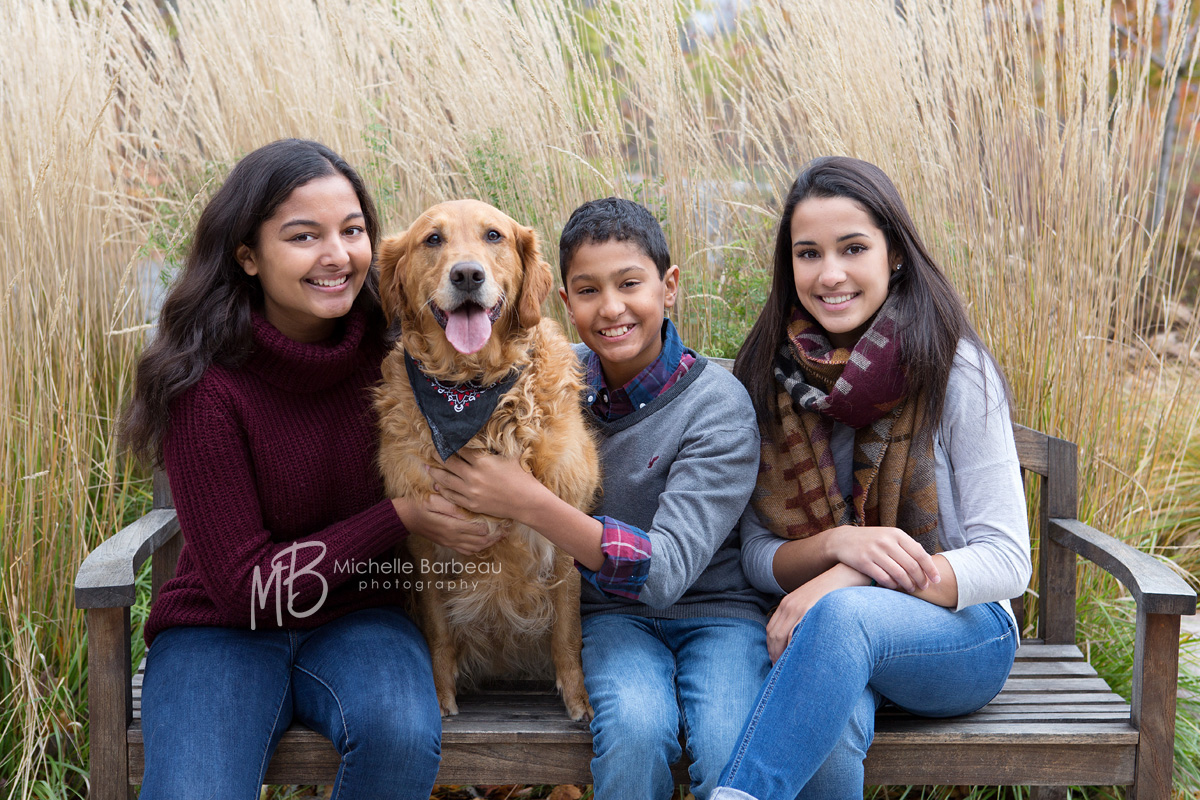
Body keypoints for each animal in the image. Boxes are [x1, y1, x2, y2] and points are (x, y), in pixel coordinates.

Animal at [376, 199, 597, 719]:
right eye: (432, 239)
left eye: (493, 235)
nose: (467, 275)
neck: (472, 388)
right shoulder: (426, 541)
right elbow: (438, 634)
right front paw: (441, 696)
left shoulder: (566, 526)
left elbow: (567, 631)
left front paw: (577, 700)